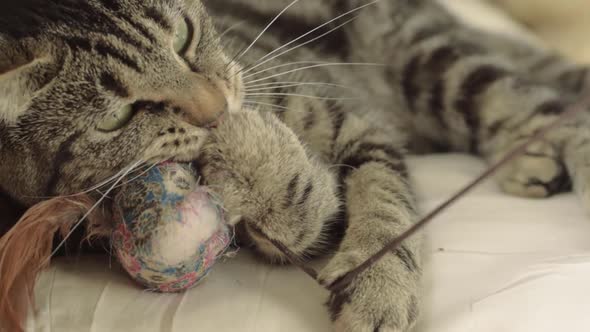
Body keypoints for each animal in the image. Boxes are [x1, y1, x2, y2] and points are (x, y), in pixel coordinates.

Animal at [1, 0, 590, 330]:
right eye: (117, 116)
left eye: (184, 37)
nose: (216, 111)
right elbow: (306, 213)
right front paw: (255, 158)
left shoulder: (357, 124)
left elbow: (384, 202)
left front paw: (378, 285)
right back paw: (531, 161)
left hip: (436, 65)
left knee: (541, 103)